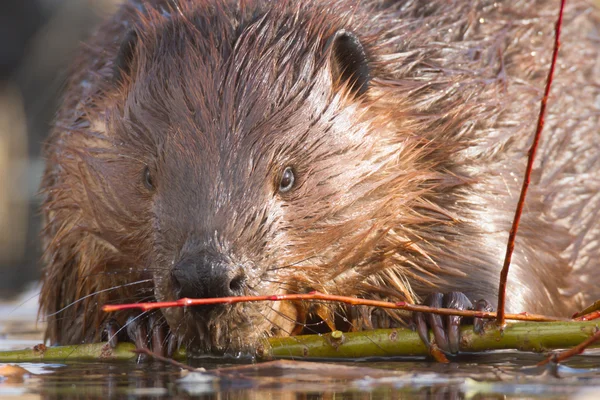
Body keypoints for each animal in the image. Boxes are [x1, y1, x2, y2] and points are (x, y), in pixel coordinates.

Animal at [39, 0, 596, 356]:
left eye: (287, 176)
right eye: (149, 175)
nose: (207, 278)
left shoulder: (468, 141)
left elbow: (511, 267)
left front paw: (455, 309)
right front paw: (137, 324)